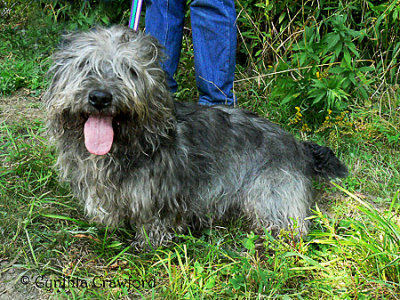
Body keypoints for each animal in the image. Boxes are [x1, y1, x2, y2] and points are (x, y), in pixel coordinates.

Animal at [43, 25, 348, 246]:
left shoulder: (163, 195)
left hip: (271, 195)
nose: (100, 97)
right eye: (84, 65)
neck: (128, 142)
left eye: (129, 71)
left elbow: (157, 222)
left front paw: (149, 242)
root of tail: (298, 144)